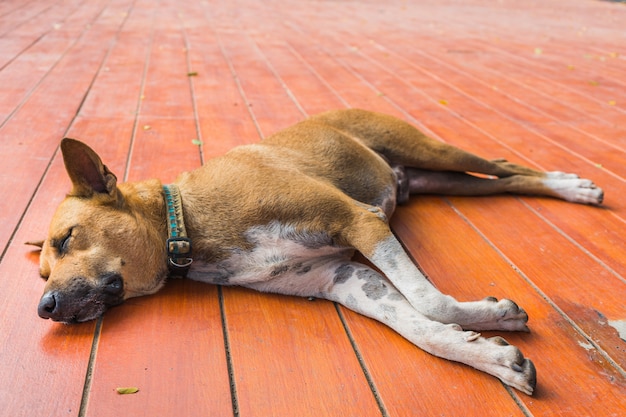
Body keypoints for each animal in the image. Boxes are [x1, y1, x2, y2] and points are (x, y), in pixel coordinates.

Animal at [31, 108, 604, 394]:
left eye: (67, 238)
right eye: (42, 275)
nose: (45, 307)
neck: (187, 220)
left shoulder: (358, 220)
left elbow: (429, 302)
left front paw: (481, 319)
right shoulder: (345, 279)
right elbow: (418, 326)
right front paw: (488, 348)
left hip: (434, 150)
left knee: (505, 166)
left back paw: (571, 186)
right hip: (441, 179)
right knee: (504, 180)